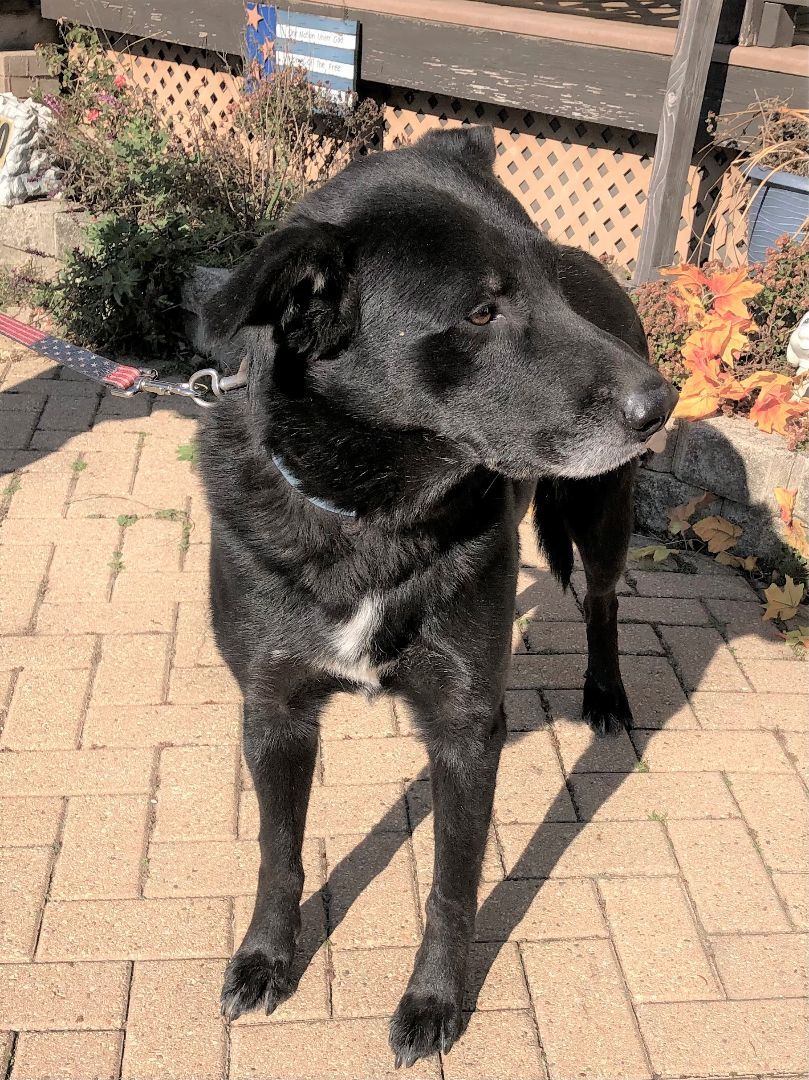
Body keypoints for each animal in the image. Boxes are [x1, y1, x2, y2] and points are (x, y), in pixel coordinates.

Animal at [197, 124, 673, 1062]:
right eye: (480, 313)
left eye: (547, 282)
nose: (661, 401)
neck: (374, 520)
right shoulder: (272, 709)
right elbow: (279, 850)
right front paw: (267, 956)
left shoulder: (464, 727)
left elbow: (451, 888)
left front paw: (433, 1002)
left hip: (600, 515)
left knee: (601, 602)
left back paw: (604, 695)